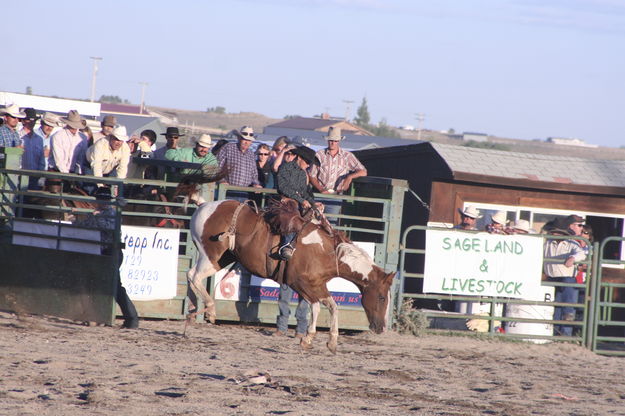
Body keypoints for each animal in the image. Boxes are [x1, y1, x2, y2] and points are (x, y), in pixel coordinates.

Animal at [180, 194, 394, 352]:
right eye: (382, 297)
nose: (382, 328)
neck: (326, 251)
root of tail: (205, 204)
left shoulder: (317, 284)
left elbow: (332, 306)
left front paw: (330, 342)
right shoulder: (300, 283)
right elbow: (317, 306)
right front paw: (308, 338)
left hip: (222, 258)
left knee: (190, 275)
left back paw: (191, 311)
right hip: (211, 254)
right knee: (195, 277)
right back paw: (209, 310)